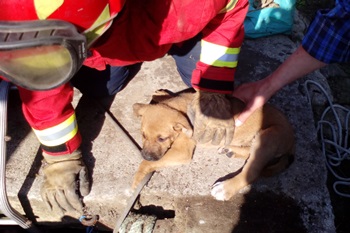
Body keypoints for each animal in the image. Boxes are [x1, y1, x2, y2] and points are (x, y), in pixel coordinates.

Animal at [133, 89, 294, 200]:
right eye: (143, 135)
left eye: (162, 139)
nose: (145, 155)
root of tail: (292, 141)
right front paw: (162, 93)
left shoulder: (182, 151)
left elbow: (147, 164)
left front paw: (137, 178)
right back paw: (230, 150)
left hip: (269, 134)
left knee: (253, 172)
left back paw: (224, 188)